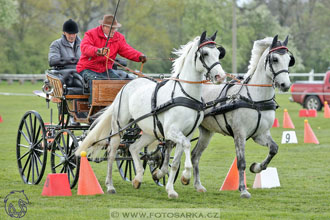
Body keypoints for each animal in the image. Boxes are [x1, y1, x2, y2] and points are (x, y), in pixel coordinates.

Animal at [75, 31, 227, 199]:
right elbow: (186, 147)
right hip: (119, 128)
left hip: (149, 132)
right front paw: (185, 176)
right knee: (112, 153)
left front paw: (170, 188)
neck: (185, 94)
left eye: (218, 53)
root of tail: (126, 86)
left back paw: (137, 178)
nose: (221, 77)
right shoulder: (171, 131)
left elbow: (175, 163)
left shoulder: (186, 133)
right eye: (205, 53)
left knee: (133, 147)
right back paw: (110, 186)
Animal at [189, 34, 296, 198]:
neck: (256, 100)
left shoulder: (260, 134)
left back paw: (198, 185)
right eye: (275, 59)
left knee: (195, 155)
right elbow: (241, 162)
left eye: (289, 59)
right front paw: (243, 189)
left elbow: (273, 149)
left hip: (206, 132)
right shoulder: (240, 133)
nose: (285, 85)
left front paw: (256, 167)